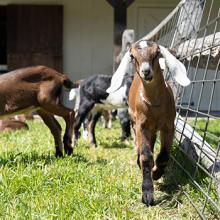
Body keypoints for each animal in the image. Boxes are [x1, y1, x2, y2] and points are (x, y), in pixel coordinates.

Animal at [107, 40, 190, 206]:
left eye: (157, 53)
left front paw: (157, 173)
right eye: (132, 56)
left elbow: (164, 155)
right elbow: (146, 156)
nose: (146, 72)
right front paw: (147, 193)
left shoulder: (168, 126)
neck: (154, 104)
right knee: (141, 147)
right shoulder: (141, 125)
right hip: (136, 123)